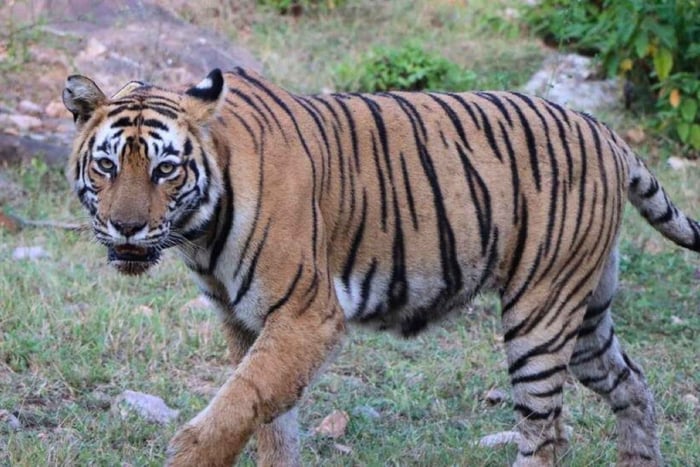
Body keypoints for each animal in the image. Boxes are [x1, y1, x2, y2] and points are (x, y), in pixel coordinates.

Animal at [62, 67, 699, 467]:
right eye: (107, 166)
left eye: (165, 170)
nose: (126, 227)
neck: (199, 232)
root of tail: (606, 132)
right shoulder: (245, 322)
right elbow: (269, 421)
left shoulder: (306, 315)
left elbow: (238, 405)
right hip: (586, 314)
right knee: (633, 385)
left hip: (540, 316)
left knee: (546, 434)